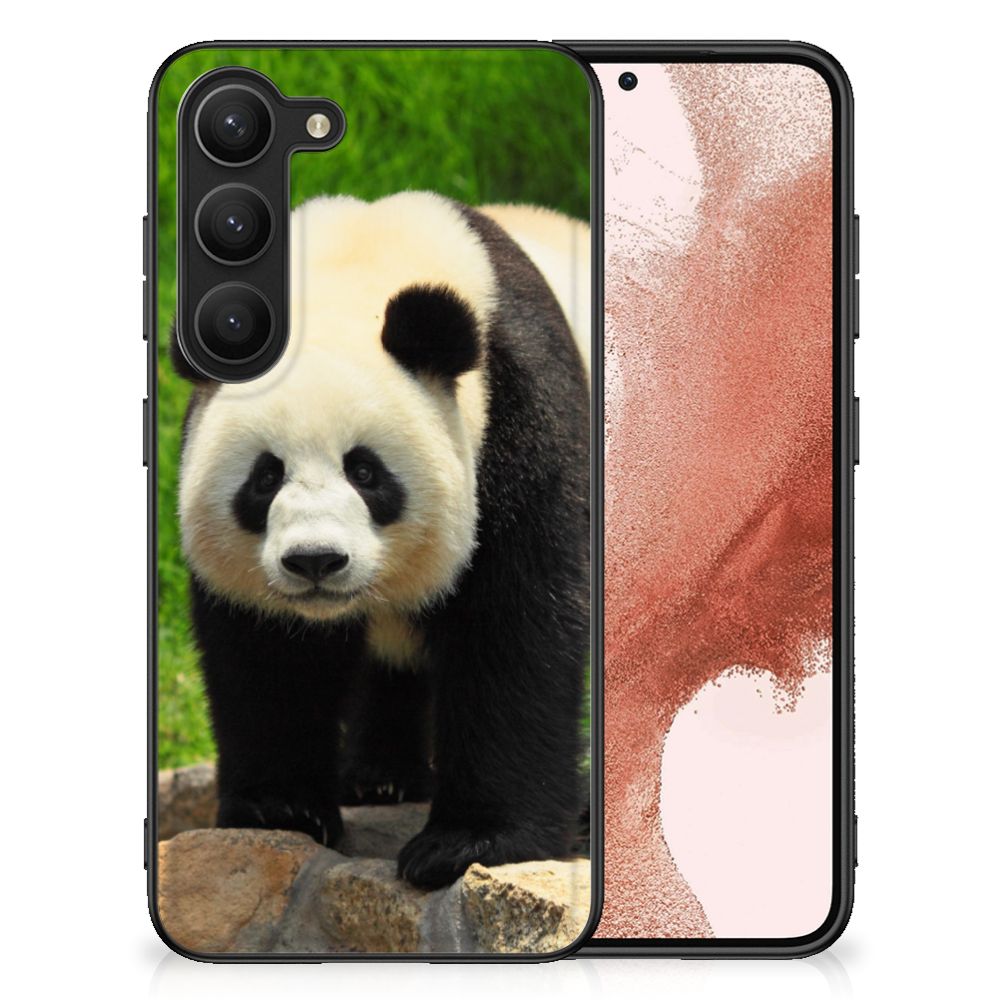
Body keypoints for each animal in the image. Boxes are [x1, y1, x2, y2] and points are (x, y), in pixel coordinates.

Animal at [173, 191, 590, 890]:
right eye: (265, 477)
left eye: (365, 472)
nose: (315, 561)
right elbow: (267, 655)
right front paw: (280, 808)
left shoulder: (520, 418)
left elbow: (517, 628)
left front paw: (468, 843)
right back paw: (379, 778)